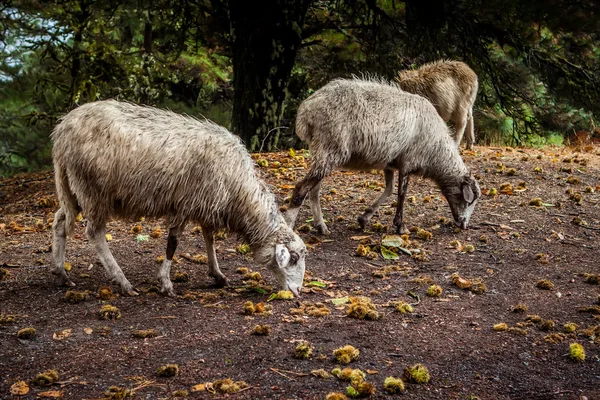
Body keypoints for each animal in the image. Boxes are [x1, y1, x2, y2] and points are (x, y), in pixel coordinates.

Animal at [49, 100, 308, 296]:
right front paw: (166, 283)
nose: (297, 292)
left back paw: (61, 273)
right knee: (95, 233)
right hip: (93, 190)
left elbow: (209, 237)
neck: (239, 193)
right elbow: (173, 243)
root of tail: (62, 130)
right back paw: (123, 282)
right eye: (294, 258)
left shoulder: (207, 202)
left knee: (60, 222)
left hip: (70, 187)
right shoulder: (186, 203)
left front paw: (218, 275)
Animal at [284, 76, 480, 234]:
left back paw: (321, 226)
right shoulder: (408, 163)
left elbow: (389, 189)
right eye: (470, 201)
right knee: (301, 189)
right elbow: (401, 195)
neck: (437, 154)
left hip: (322, 151)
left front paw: (364, 218)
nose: (464, 225)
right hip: (331, 149)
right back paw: (290, 224)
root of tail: (307, 110)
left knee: (314, 190)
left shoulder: (390, 163)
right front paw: (400, 226)